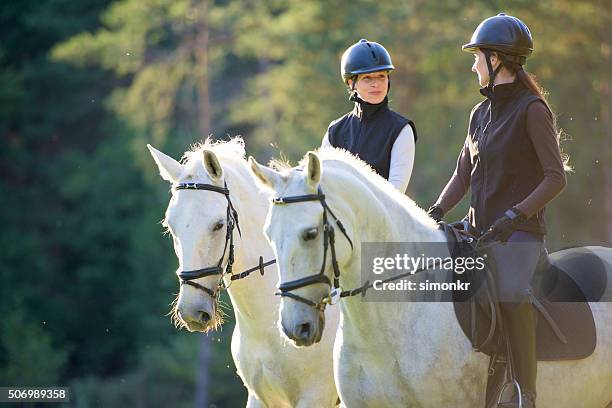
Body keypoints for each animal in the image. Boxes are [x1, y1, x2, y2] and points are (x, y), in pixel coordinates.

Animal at [148, 139, 340, 406]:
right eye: (170, 226)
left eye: (219, 225)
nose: (191, 312)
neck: (265, 325)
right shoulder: (258, 397)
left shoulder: (315, 397)